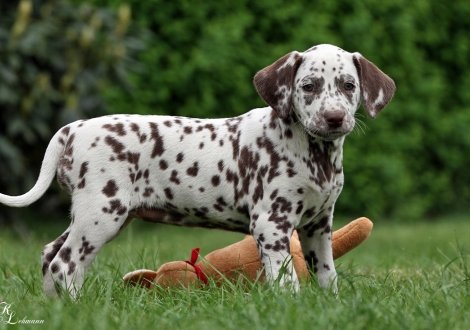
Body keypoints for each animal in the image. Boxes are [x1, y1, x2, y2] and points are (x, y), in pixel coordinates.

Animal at [0, 43, 396, 296]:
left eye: (348, 85)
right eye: (309, 86)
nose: (334, 118)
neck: (313, 153)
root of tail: (73, 128)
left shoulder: (318, 226)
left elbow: (327, 275)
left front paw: (330, 307)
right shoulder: (272, 225)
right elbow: (287, 281)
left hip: (94, 215)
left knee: (49, 254)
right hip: (101, 214)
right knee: (65, 264)